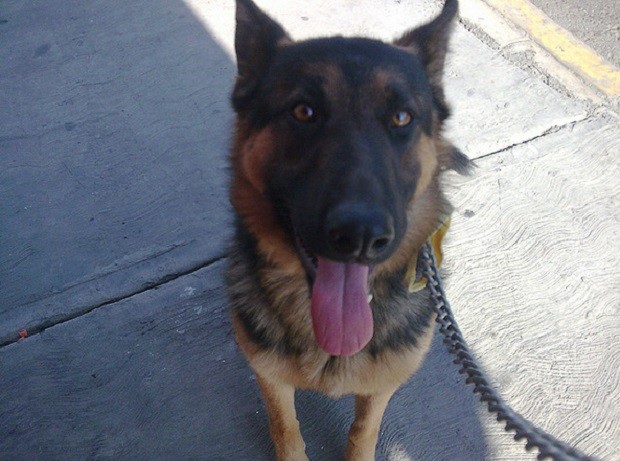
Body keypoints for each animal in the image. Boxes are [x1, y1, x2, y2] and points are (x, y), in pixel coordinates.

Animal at [226, 0, 471, 459]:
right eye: (303, 111)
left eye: (401, 117)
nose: (360, 236)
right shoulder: (270, 376)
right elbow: (285, 427)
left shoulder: (381, 387)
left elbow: (363, 431)